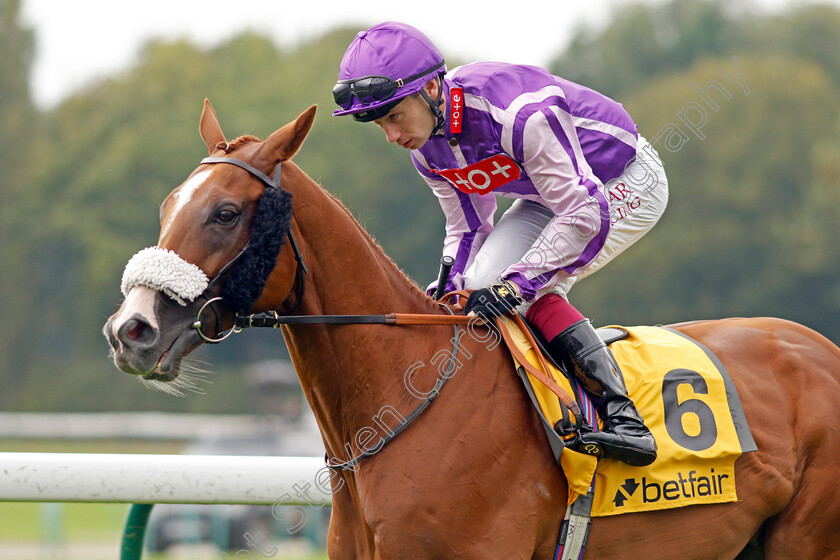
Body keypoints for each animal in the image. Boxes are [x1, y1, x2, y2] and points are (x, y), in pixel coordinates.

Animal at [105, 101, 840, 560]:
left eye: (226, 212)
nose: (130, 329)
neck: (403, 403)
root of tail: (821, 348)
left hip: (805, 538)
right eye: (169, 206)